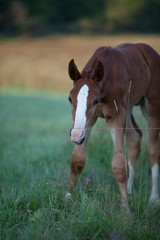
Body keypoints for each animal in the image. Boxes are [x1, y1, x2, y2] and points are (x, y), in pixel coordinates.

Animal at [66, 43, 160, 218]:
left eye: (95, 100)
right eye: (70, 99)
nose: (75, 136)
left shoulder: (115, 117)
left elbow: (118, 164)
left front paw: (126, 212)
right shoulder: (90, 119)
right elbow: (77, 159)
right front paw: (67, 196)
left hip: (151, 108)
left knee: (152, 148)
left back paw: (153, 199)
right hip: (128, 107)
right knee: (134, 138)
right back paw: (129, 191)